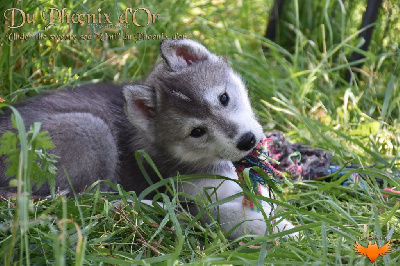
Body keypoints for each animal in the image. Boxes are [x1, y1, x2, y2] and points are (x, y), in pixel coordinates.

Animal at [0, 39, 296, 239]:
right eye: (197, 132)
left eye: (224, 98)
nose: (247, 141)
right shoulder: (194, 201)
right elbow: (229, 216)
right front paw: (281, 231)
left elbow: (261, 199)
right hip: (91, 128)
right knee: (82, 200)